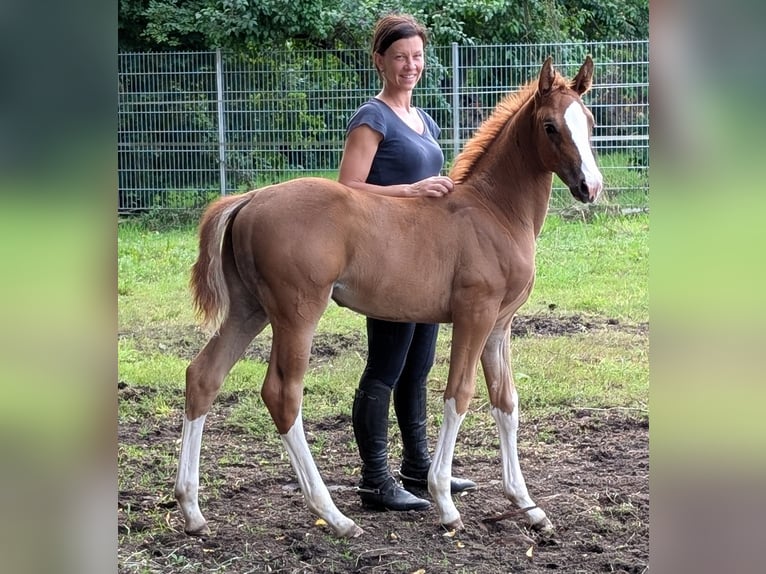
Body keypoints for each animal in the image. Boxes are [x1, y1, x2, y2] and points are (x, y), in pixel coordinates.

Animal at [174, 56, 603, 538]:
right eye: (550, 126)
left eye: (589, 122)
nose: (590, 187)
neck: (495, 212)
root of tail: (250, 198)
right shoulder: (474, 314)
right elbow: (459, 394)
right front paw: (444, 502)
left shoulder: (500, 324)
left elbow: (506, 402)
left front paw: (527, 506)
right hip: (296, 312)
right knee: (282, 394)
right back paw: (335, 516)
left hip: (250, 309)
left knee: (203, 376)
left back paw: (192, 510)